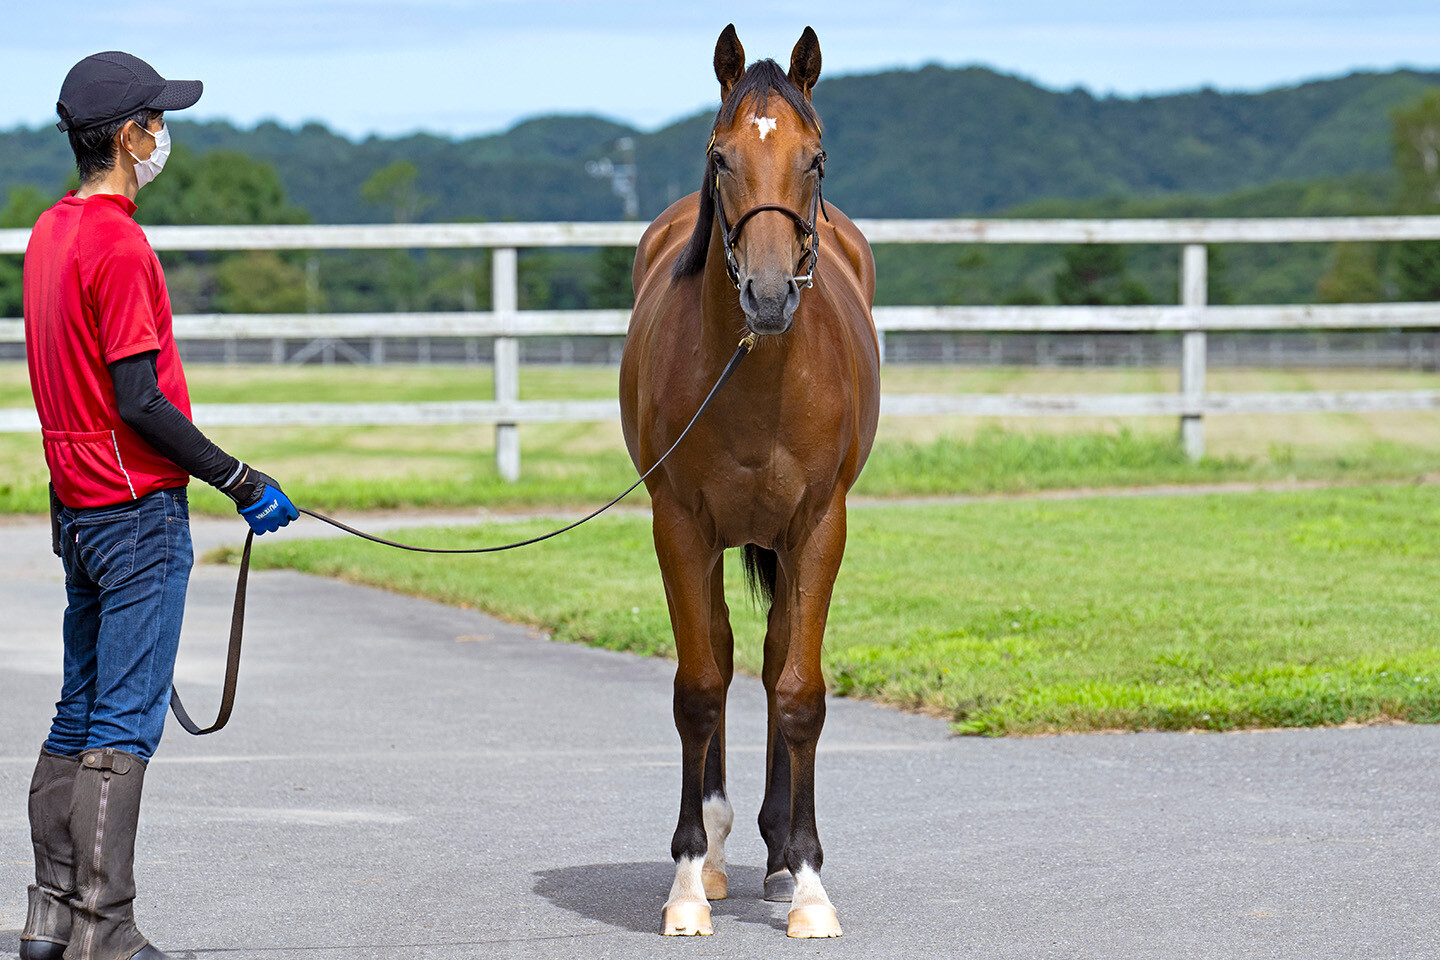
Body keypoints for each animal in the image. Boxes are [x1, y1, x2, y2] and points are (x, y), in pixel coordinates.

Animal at [616, 22, 875, 938]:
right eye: (719, 156)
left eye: (817, 159)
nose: (767, 295)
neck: (758, 375)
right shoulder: (680, 526)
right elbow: (699, 687)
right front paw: (689, 880)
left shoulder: (820, 527)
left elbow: (799, 692)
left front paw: (809, 883)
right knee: (727, 656)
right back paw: (727, 851)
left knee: (768, 658)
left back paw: (774, 855)